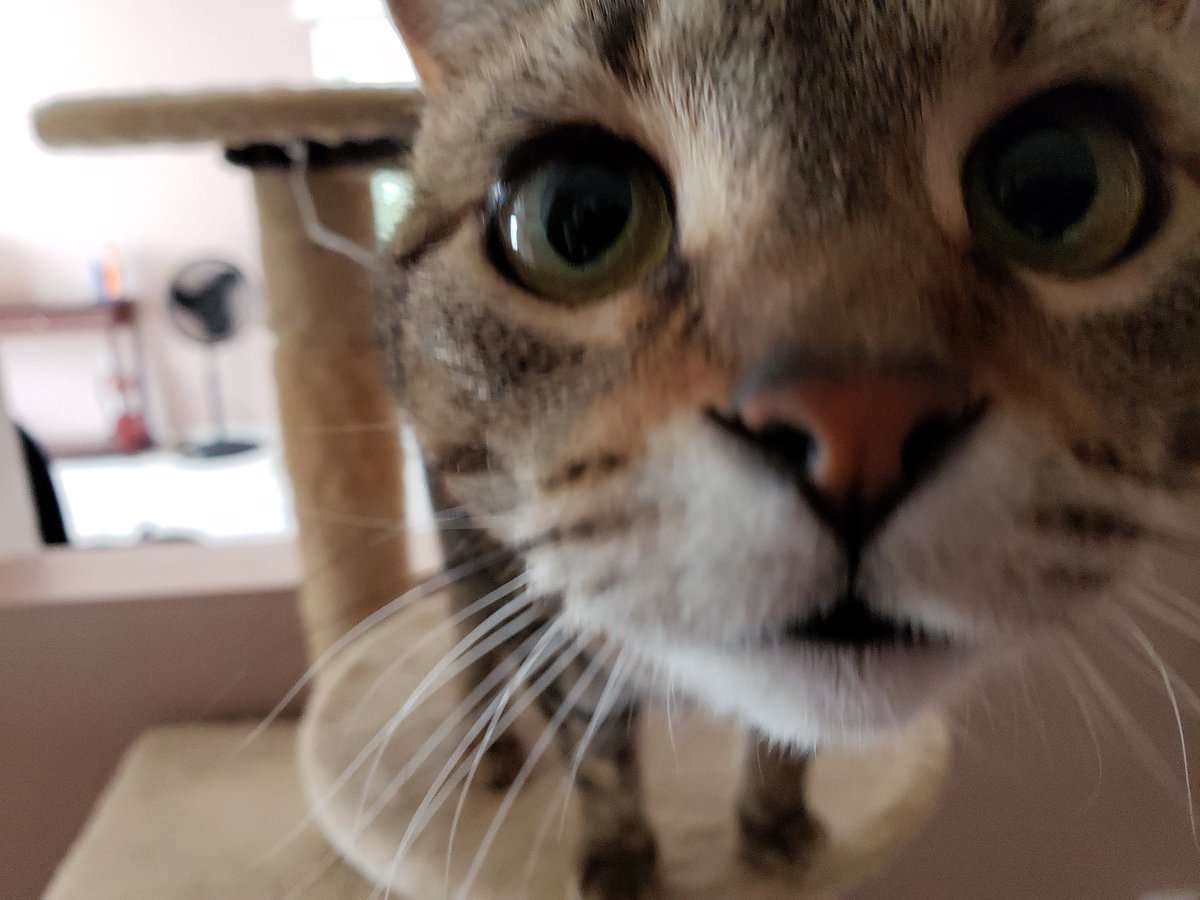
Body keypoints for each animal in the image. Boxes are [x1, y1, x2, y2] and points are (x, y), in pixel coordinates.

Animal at [374, 1, 1200, 897]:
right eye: (578, 216)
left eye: (1060, 186)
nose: (858, 424)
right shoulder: (550, 622)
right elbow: (598, 753)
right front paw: (622, 858)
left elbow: (783, 741)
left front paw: (774, 825)